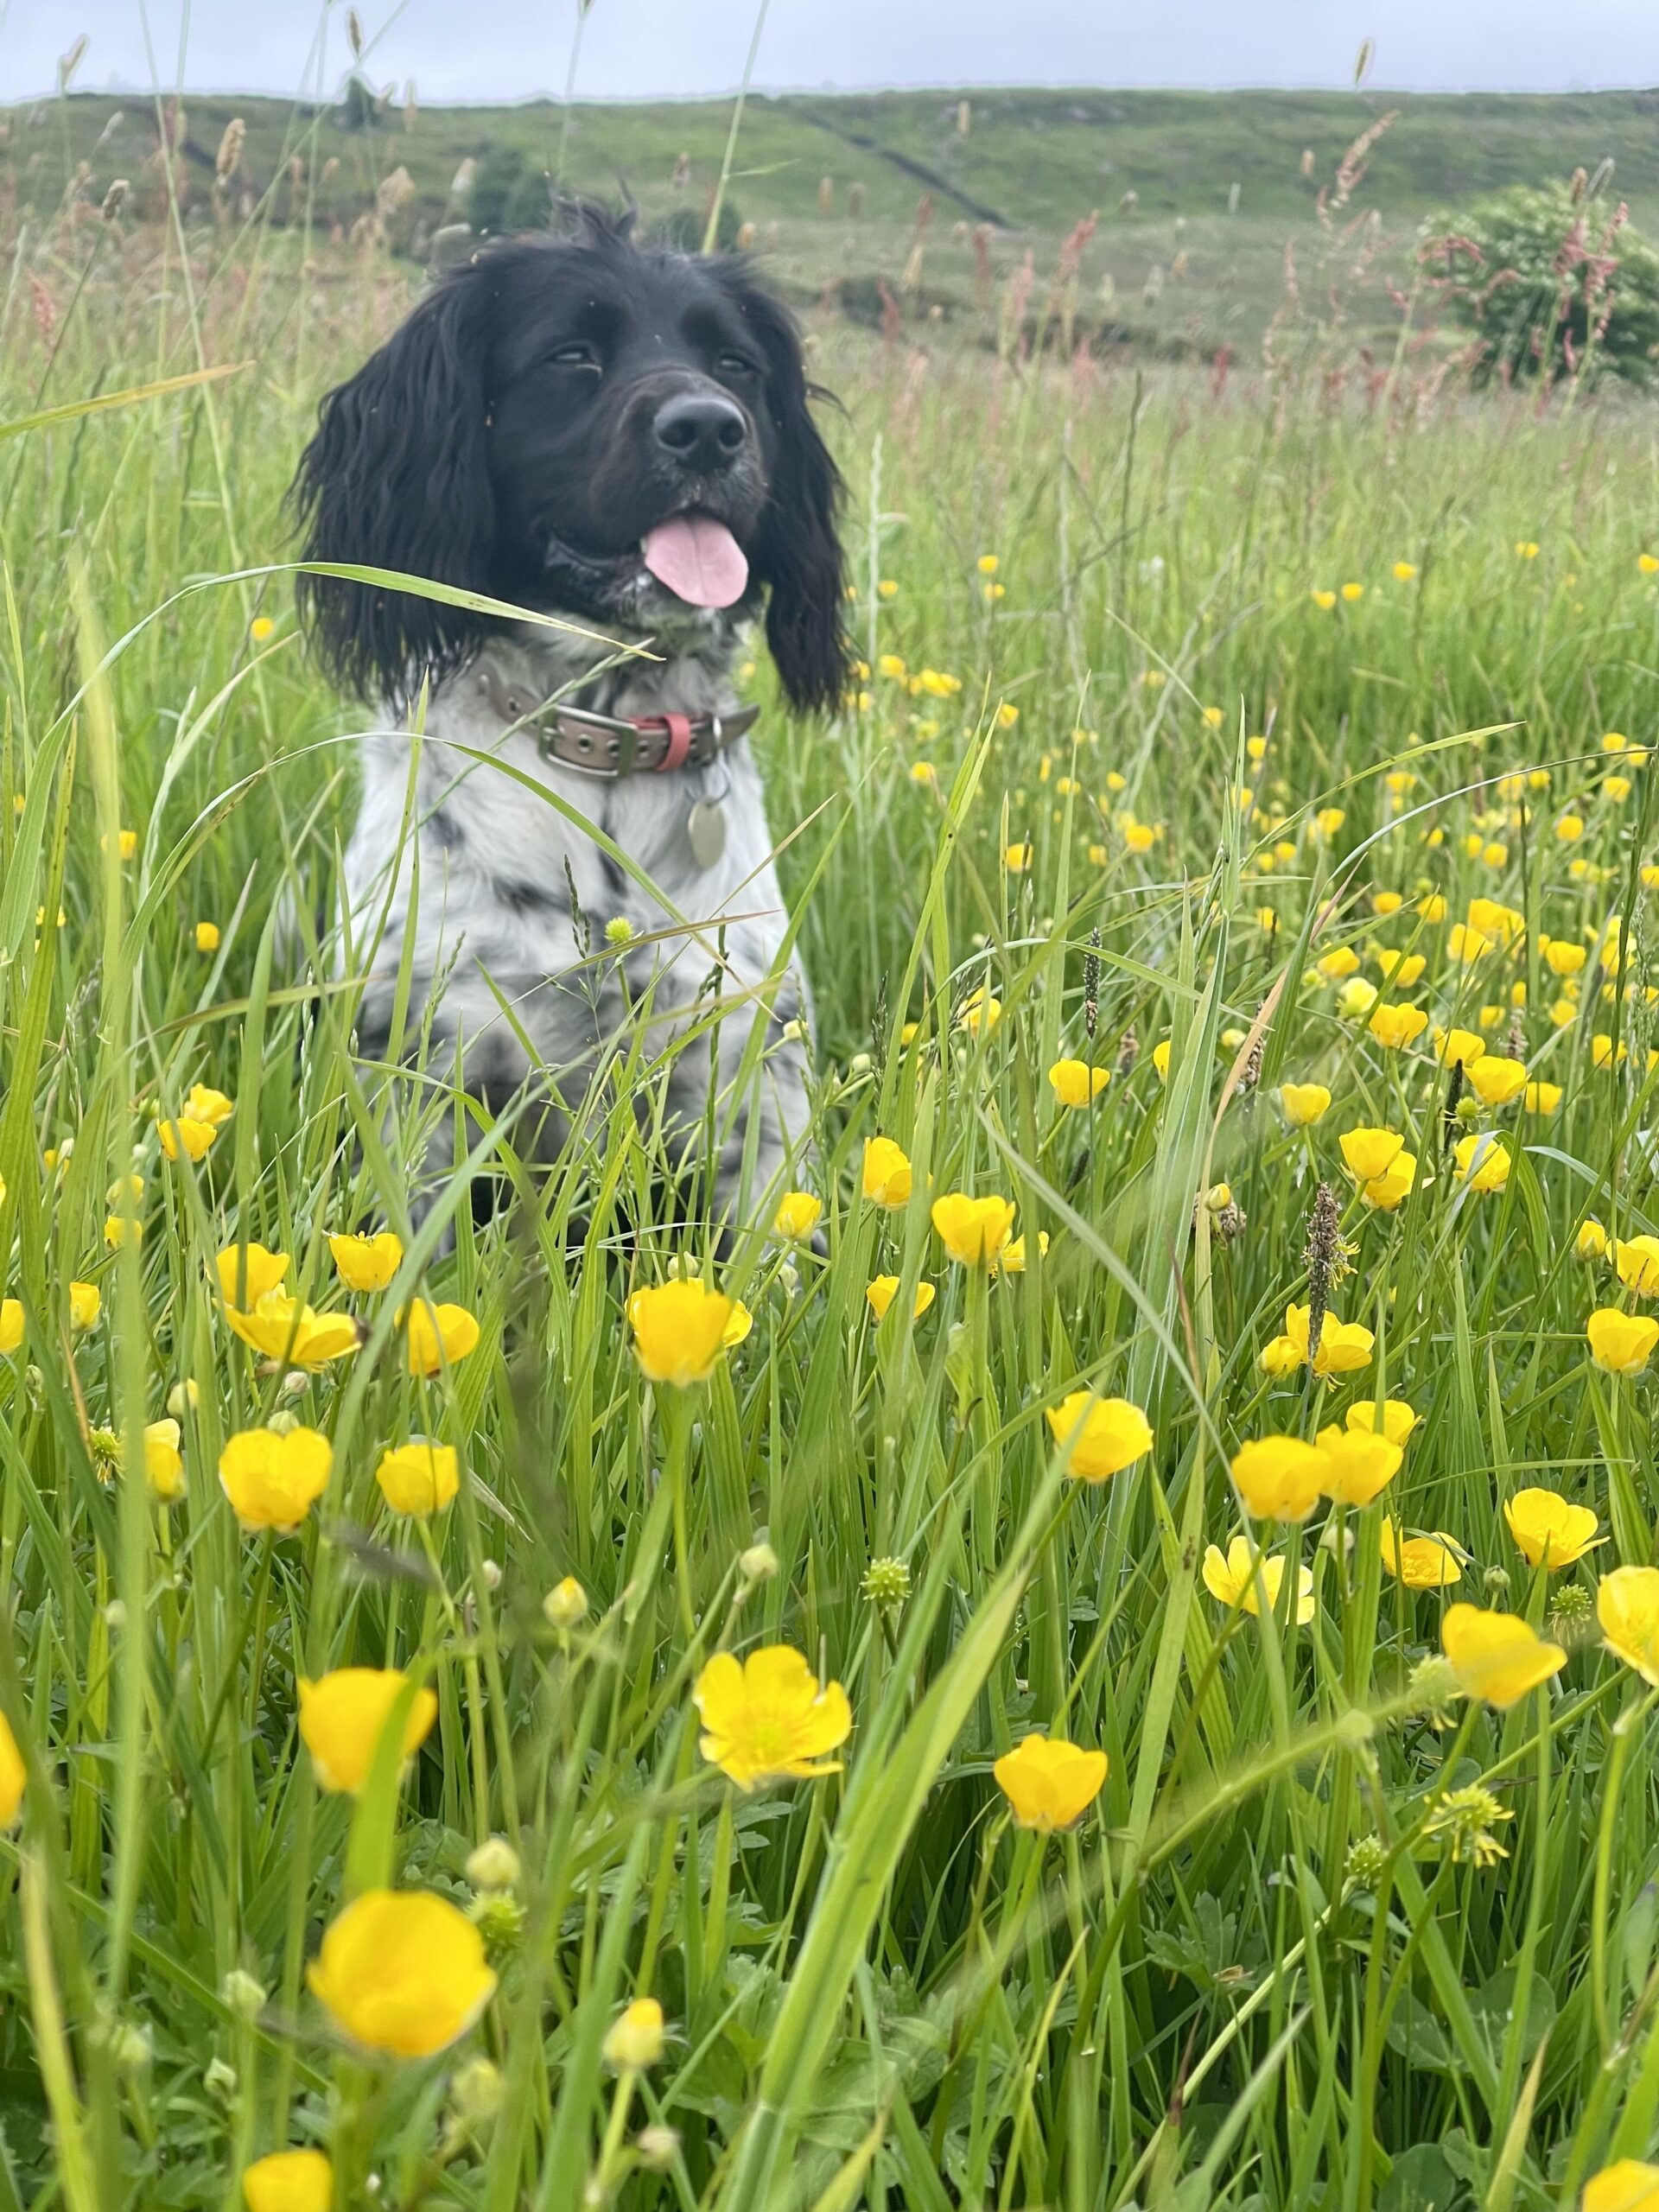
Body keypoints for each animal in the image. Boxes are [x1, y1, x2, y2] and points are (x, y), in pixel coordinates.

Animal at [287, 200, 849, 1238]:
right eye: (572, 355)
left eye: (736, 362)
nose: (709, 429)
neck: (602, 752)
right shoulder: (431, 1069)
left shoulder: (746, 1074)